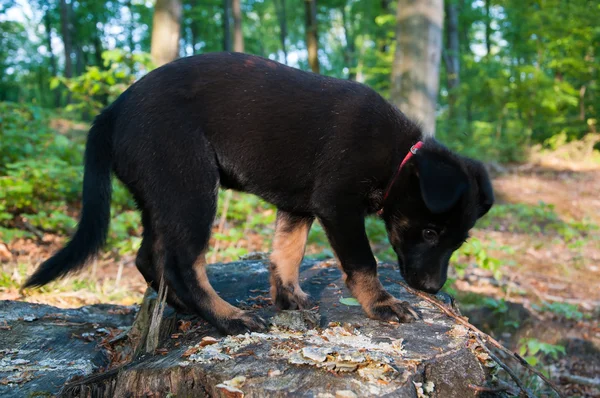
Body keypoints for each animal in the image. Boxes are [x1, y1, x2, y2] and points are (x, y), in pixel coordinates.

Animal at [23, 52, 492, 332]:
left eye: (456, 242)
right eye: (429, 232)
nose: (432, 289)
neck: (398, 159)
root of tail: (113, 109)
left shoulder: (298, 206)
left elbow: (287, 253)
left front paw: (288, 298)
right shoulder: (337, 206)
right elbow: (363, 262)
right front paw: (381, 304)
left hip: (160, 195)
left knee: (147, 257)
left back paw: (185, 309)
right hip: (192, 186)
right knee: (182, 262)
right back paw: (227, 317)